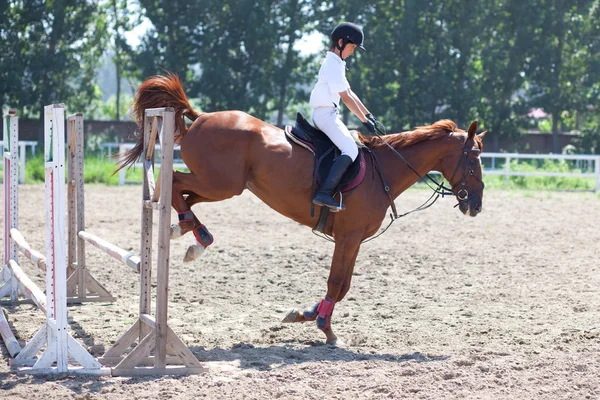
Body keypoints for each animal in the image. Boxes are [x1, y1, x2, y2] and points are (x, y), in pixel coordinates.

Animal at [115, 73, 486, 346]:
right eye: (473, 160)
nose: (477, 205)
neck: (385, 169)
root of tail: (201, 116)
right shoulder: (348, 238)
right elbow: (336, 283)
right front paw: (324, 326)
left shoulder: (353, 241)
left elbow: (343, 285)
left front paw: (306, 315)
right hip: (221, 183)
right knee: (174, 182)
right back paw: (198, 234)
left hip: (220, 185)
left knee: (183, 194)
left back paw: (189, 231)